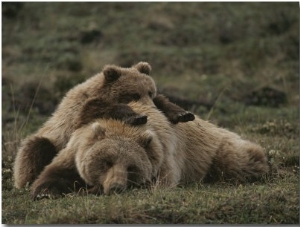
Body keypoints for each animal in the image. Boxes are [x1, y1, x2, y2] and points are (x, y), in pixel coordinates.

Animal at [13, 61, 195, 189]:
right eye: (134, 94)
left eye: (150, 91)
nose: (150, 109)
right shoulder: (79, 112)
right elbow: (99, 108)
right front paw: (137, 116)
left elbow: (164, 102)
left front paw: (182, 113)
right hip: (50, 140)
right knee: (36, 148)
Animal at [31, 101, 270, 199]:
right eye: (106, 161)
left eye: (131, 167)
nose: (116, 186)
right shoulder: (75, 149)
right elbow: (54, 174)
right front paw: (46, 192)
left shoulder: (163, 157)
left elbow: (157, 185)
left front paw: (88, 190)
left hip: (216, 149)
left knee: (236, 160)